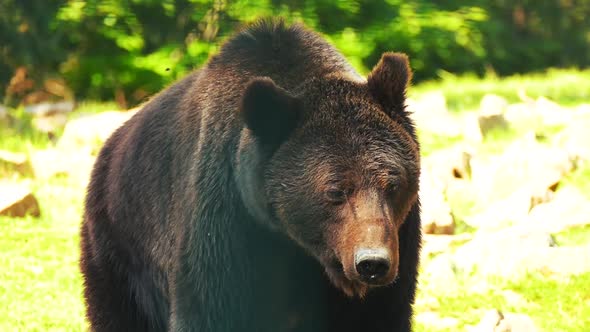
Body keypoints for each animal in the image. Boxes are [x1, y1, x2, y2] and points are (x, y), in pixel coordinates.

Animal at [81, 18, 424, 332]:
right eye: (335, 190)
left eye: (393, 184)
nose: (372, 263)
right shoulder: (225, 220)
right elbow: (210, 308)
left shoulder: (399, 241)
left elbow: (378, 314)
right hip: (122, 247)